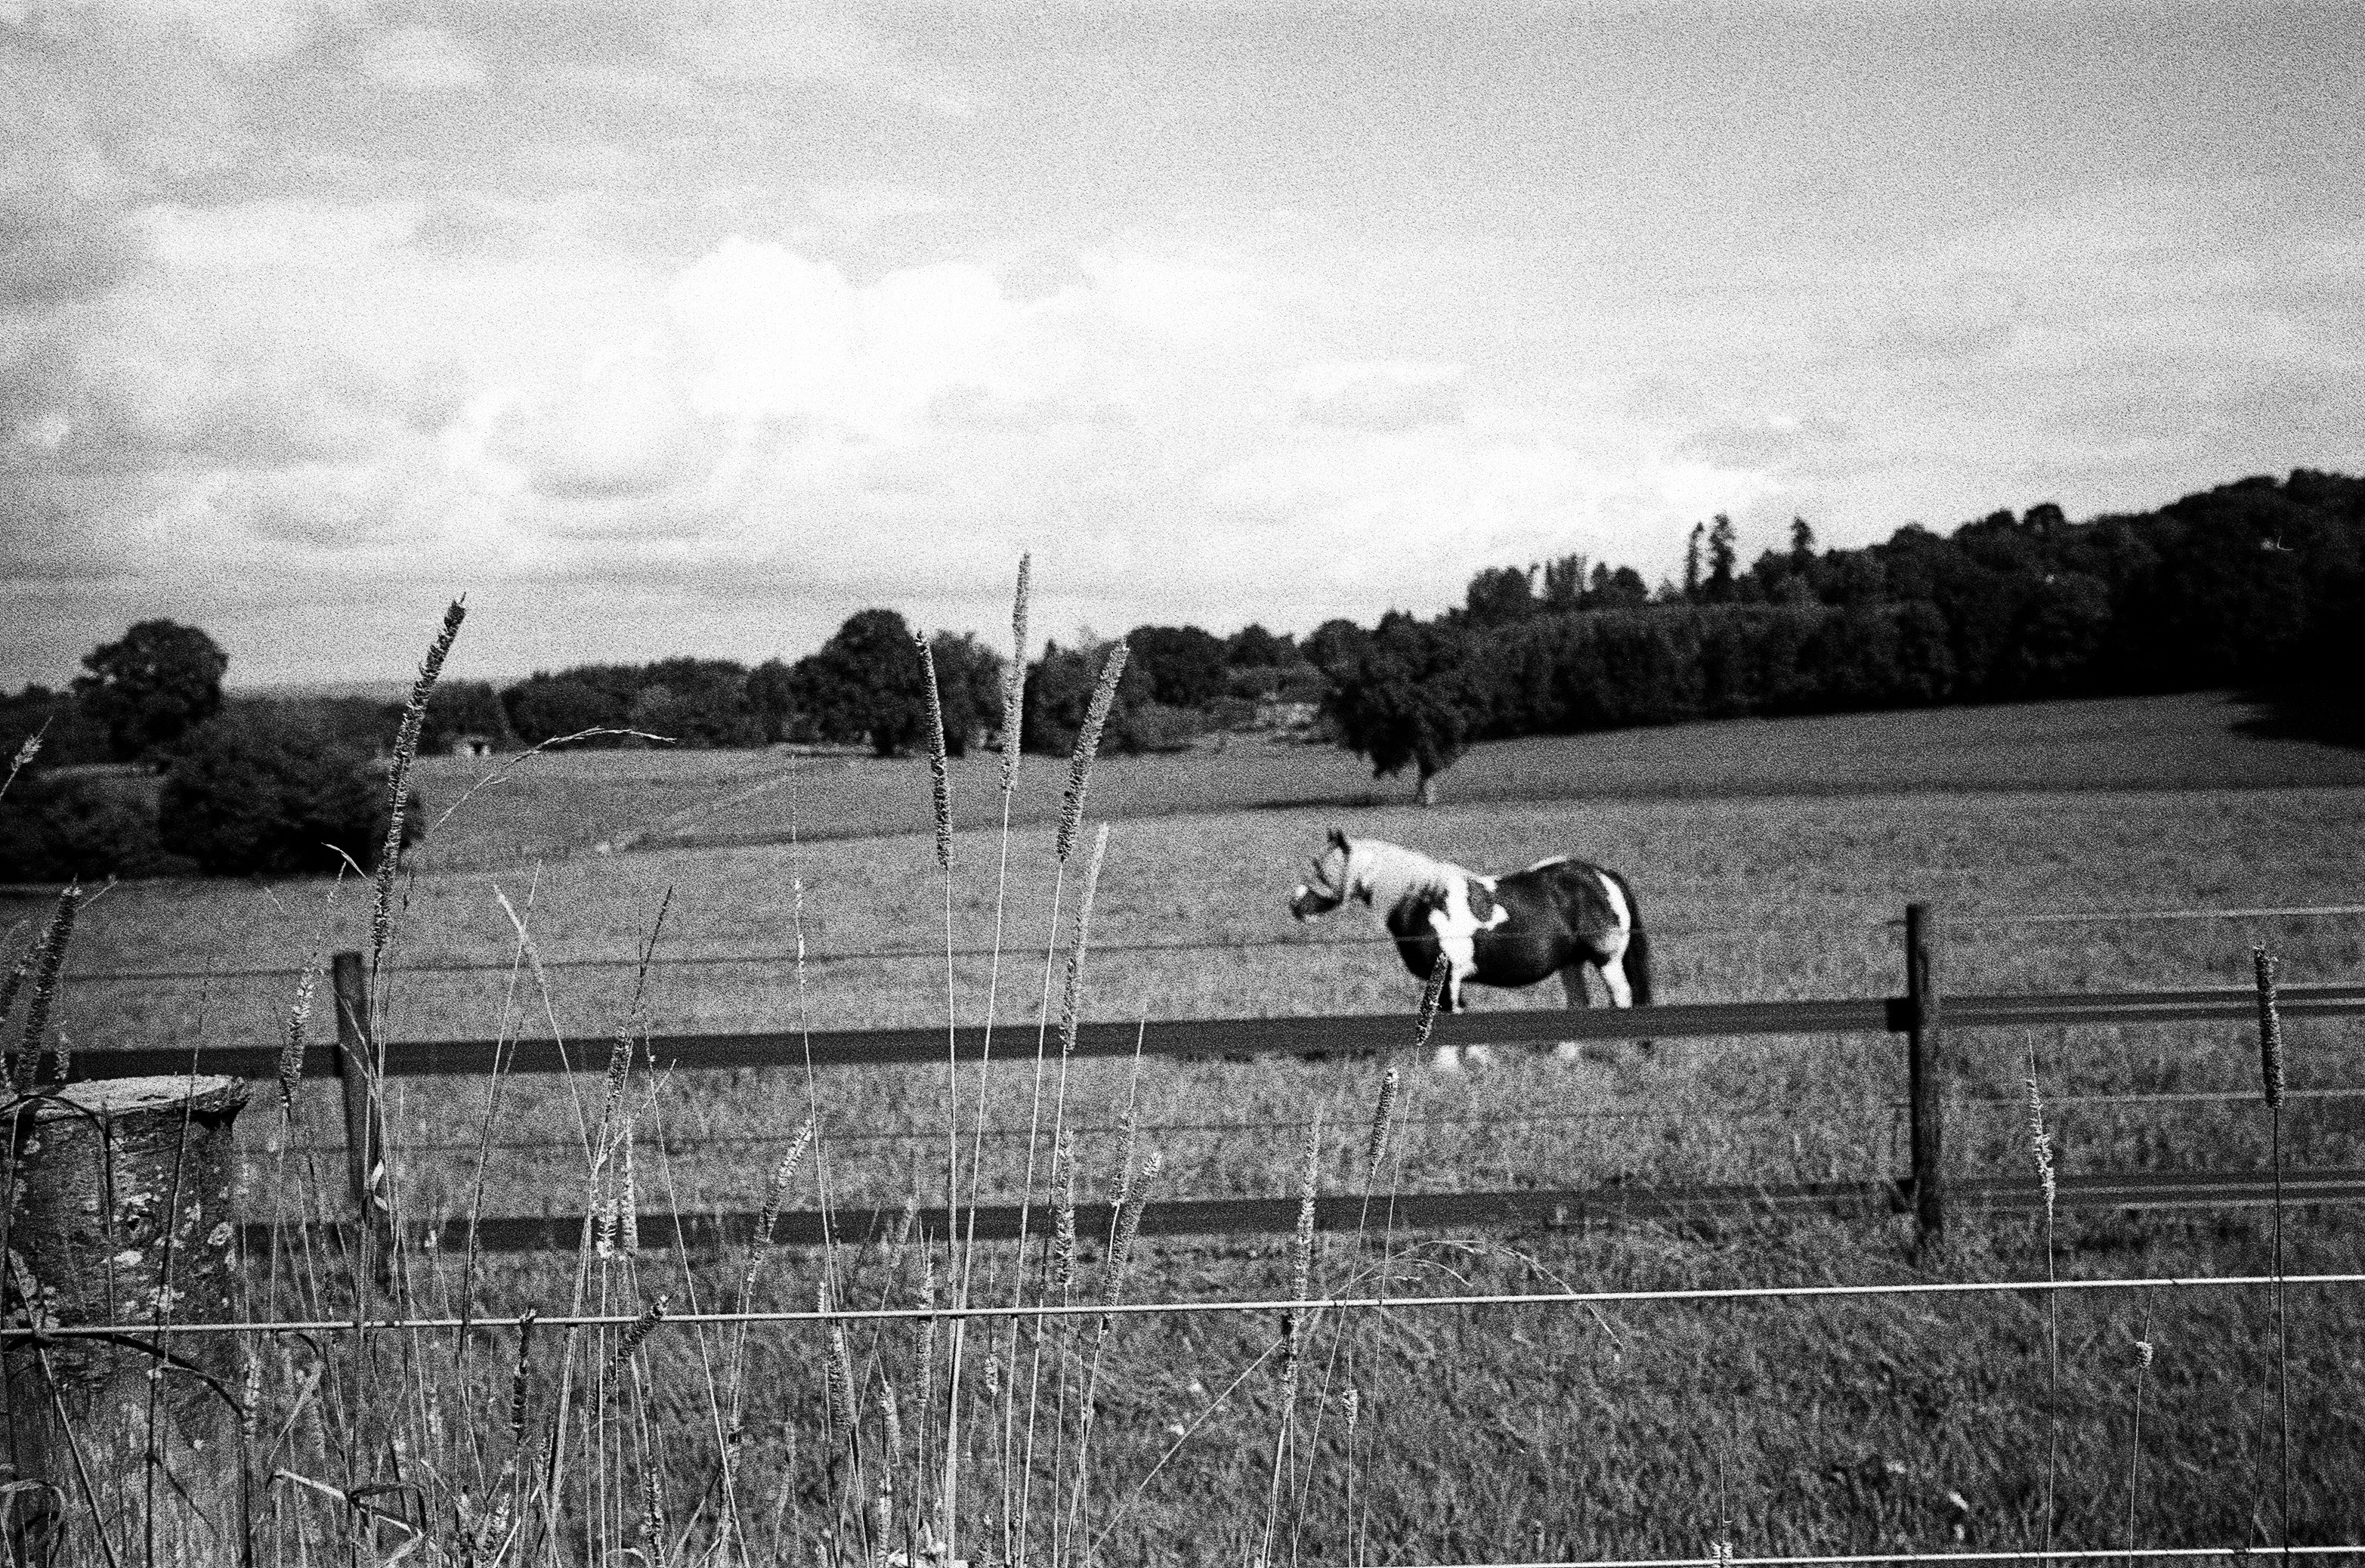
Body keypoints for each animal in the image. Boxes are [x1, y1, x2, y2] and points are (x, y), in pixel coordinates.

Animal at [1286, 832, 1656, 1069]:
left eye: (1320, 870)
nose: (1294, 905)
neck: (1422, 900)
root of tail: (1603, 876)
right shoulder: (1449, 977)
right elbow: (1461, 1014)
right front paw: (1479, 1058)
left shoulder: (1446, 974)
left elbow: (1448, 1014)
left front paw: (1446, 1066)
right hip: (1571, 963)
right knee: (1579, 1004)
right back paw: (1564, 1056)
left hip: (1607, 961)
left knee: (1621, 999)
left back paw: (1624, 1053)